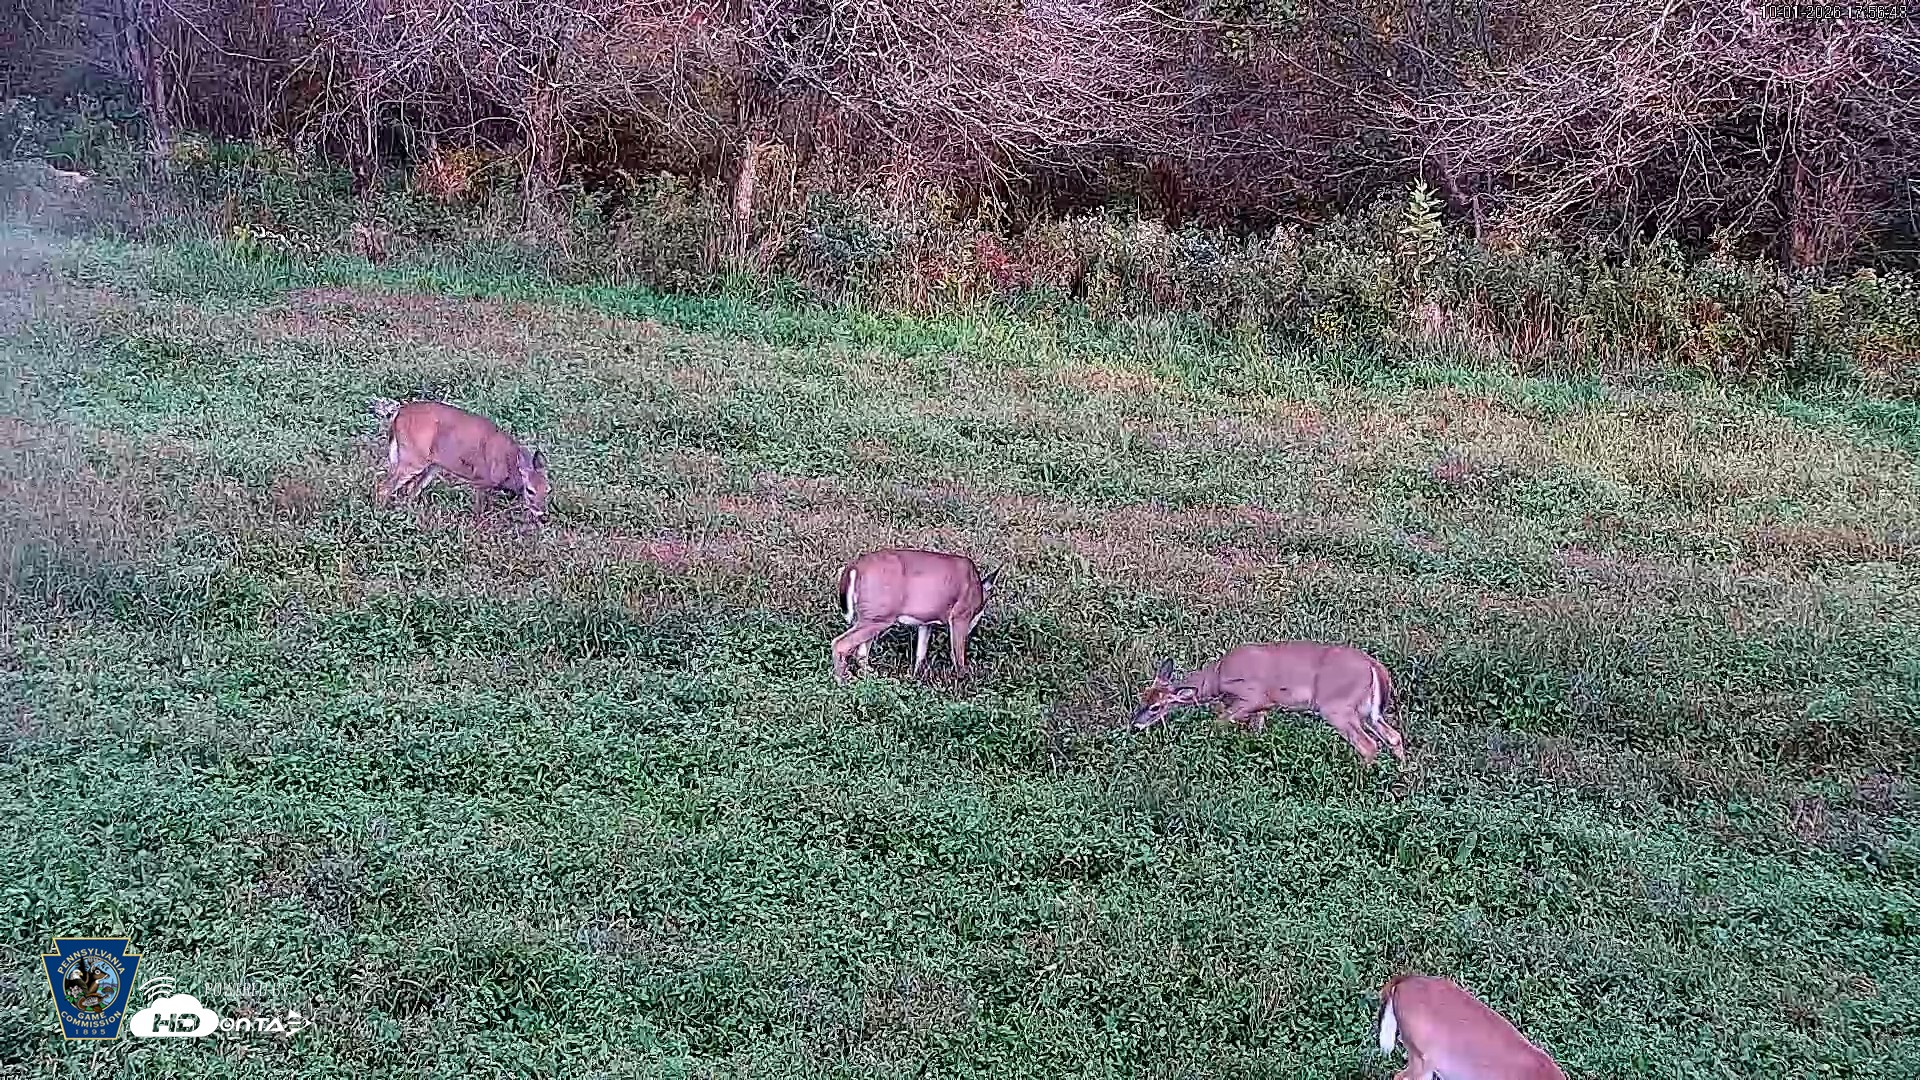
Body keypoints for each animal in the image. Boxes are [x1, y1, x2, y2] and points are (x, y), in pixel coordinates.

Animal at [370, 398, 550, 523]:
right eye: (530, 490)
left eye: (548, 490)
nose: (542, 514)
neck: (509, 465)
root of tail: (398, 414)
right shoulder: (480, 480)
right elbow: (479, 509)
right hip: (413, 457)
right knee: (384, 488)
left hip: (432, 464)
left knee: (410, 491)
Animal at [832, 548, 998, 682]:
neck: (977, 589)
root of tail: (854, 567)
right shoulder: (960, 615)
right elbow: (958, 655)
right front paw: (964, 681)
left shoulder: (926, 622)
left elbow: (921, 653)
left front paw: (915, 677)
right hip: (879, 615)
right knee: (840, 644)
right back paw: (842, 682)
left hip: (871, 616)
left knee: (861, 653)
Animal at [1129, 641, 1407, 763]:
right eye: (1142, 697)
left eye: (1156, 707)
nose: (1134, 726)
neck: (1218, 679)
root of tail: (1376, 668)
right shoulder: (1263, 709)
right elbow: (1256, 732)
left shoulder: (1252, 698)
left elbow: (1217, 724)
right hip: (1369, 713)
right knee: (1394, 737)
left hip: (1337, 707)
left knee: (1368, 745)